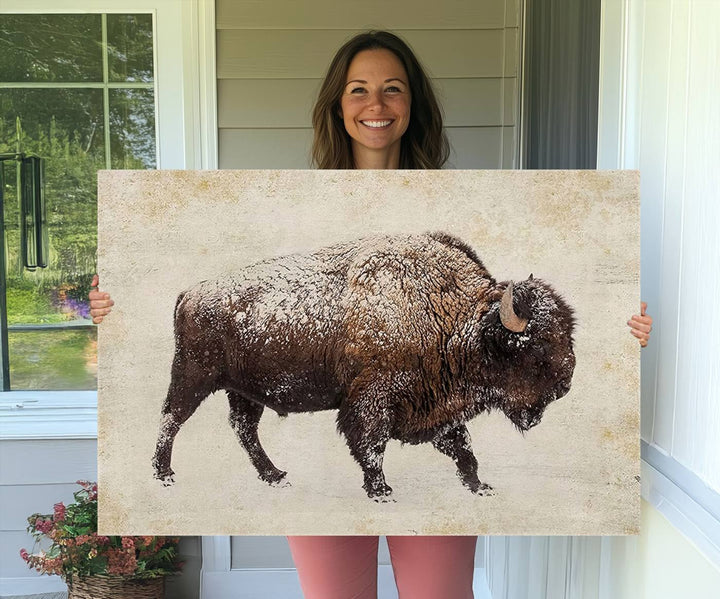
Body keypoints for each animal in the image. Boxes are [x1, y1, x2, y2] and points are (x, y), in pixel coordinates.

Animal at [150, 232, 572, 500]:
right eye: (534, 346)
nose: (565, 384)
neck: (454, 317)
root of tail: (191, 292)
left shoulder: (438, 406)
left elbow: (463, 446)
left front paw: (479, 486)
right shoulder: (373, 400)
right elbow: (372, 445)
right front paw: (381, 491)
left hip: (243, 391)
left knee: (243, 429)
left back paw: (276, 476)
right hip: (194, 376)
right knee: (171, 418)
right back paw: (164, 474)